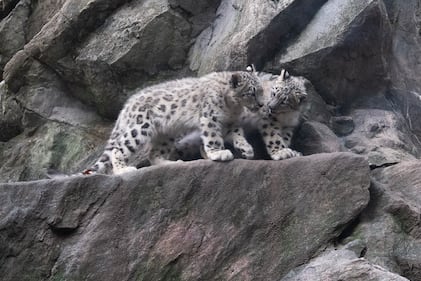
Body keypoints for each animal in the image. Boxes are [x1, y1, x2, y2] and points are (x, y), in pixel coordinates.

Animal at [83, 71, 262, 174]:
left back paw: (172, 163)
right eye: (251, 93)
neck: (232, 107)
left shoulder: (230, 122)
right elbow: (212, 137)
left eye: (260, 90)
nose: (261, 105)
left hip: (165, 134)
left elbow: (238, 134)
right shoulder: (210, 118)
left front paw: (246, 149)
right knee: (118, 148)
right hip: (140, 127)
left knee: (154, 154)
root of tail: (127, 105)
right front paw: (218, 153)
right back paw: (124, 169)